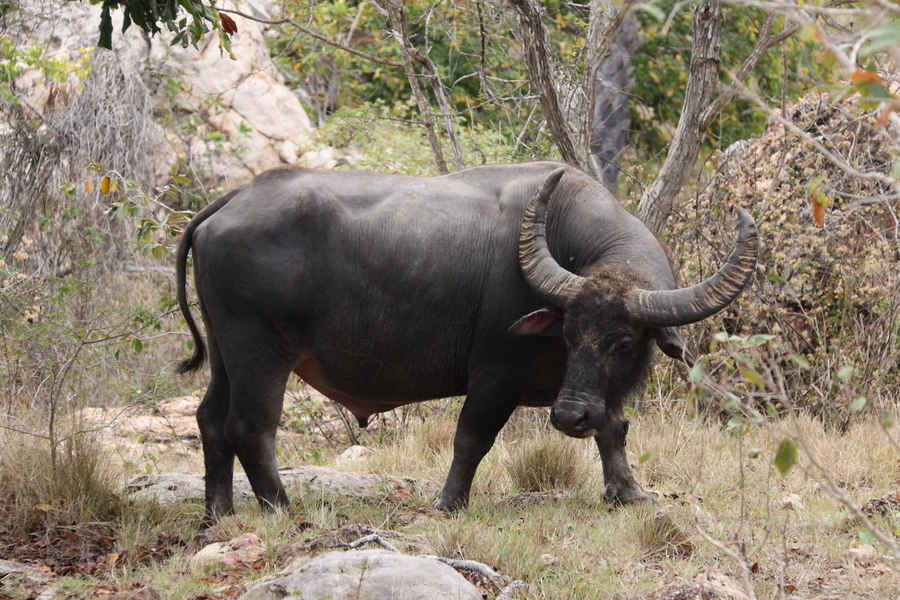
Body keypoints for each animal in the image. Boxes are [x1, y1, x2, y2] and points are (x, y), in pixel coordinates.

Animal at [176, 162, 758, 521]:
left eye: (621, 343)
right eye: (568, 334)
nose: (568, 416)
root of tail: (233, 201)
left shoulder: (598, 389)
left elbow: (613, 427)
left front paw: (628, 492)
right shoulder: (496, 374)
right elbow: (472, 437)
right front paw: (449, 502)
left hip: (226, 355)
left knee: (211, 420)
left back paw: (218, 513)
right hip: (260, 353)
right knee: (251, 428)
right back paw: (282, 509)